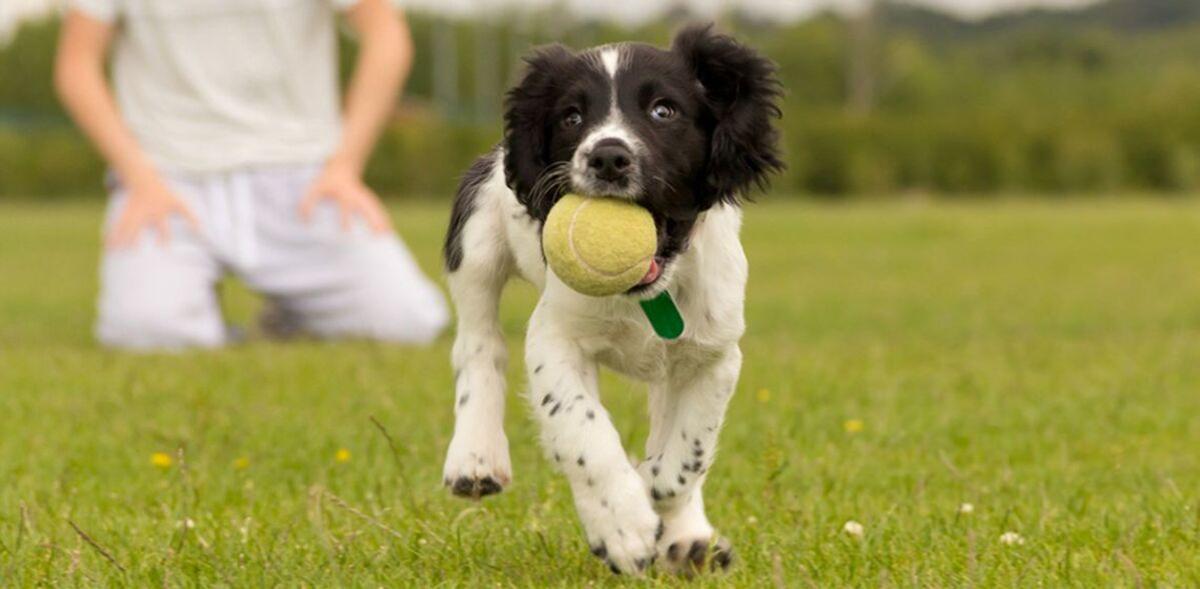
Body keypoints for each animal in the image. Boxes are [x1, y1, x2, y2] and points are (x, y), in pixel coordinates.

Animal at [441, 24, 787, 575]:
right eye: (571, 116)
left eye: (664, 110)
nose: (606, 155)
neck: (649, 295)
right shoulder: (554, 337)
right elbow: (583, 430)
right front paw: (621, 525)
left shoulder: (713, 354)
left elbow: (686, 452)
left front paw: (661, 504)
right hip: (475, 239)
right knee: (479, 345)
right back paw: (475, 456)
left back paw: (689, 539)